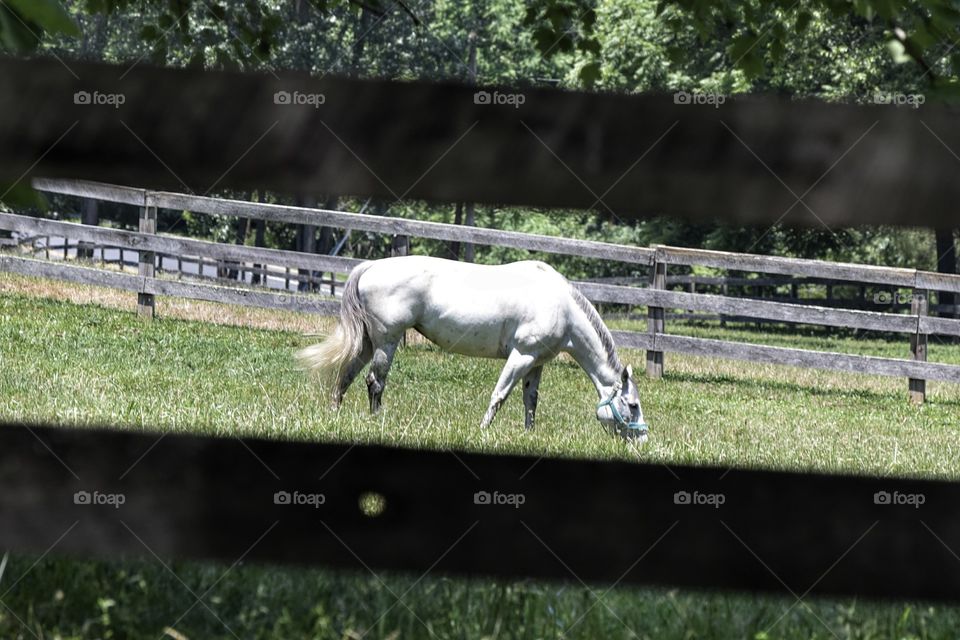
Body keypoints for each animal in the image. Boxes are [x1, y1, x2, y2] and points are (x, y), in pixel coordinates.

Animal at [296, 256, 648, 439]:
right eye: (632, 405)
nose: (642, 438)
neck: (561, 306)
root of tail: (369, 266)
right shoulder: (521, 356)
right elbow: (500, 394)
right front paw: (483, 430)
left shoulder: (536, 362)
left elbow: (530, 400)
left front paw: (529, 435)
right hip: (387, 340)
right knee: (374, 381)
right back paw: (376, 420)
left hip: (369, 341)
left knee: (347, 373)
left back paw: (335, 412)